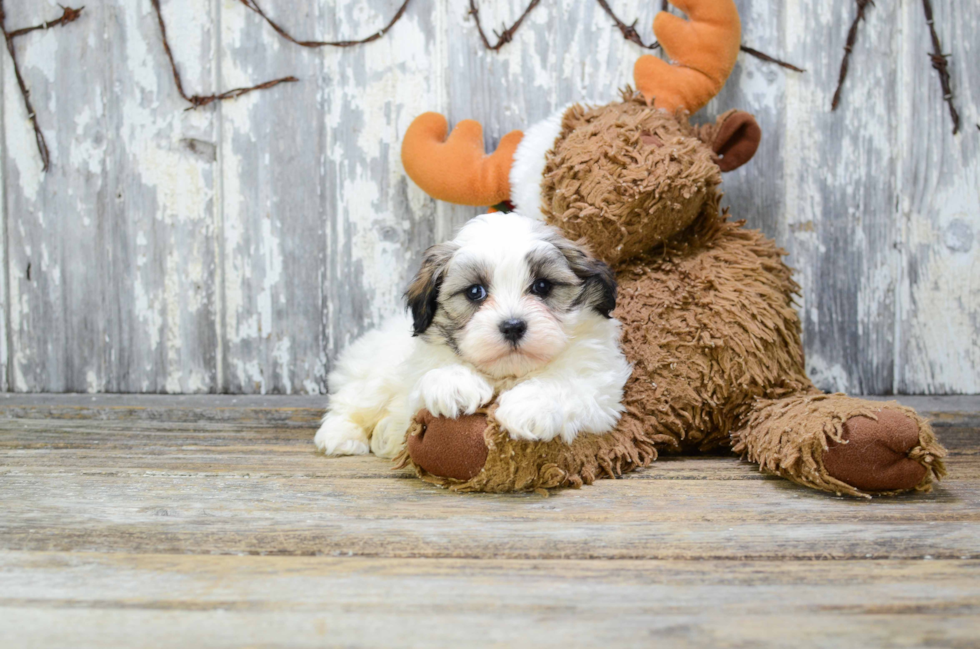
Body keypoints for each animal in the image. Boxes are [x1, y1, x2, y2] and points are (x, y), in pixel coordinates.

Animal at [318, 210, 632, 458]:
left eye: (543, 286)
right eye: (475, 292)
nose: (512, 325)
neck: (507, 375)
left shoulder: (602, 394)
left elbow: (567, 386)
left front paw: (529, 407)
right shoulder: (409, 392)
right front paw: (454, 384)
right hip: (374, 375)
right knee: (351, 402)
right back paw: (340, 436)